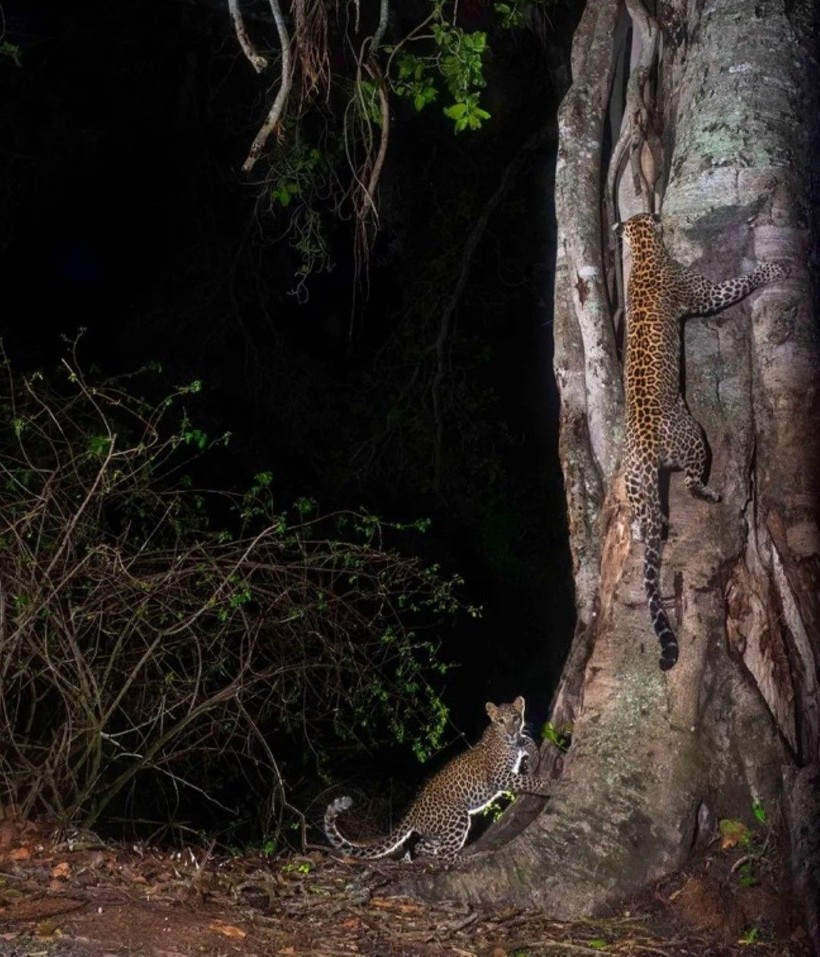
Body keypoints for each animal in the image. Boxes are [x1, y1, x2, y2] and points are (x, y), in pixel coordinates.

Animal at [324, 696, 548, 868]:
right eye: (501, 721)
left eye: (515, 718)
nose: (511, 731)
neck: (502, 739)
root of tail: (413, 809)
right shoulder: (499, 776)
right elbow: (526, 781)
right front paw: (548, 786)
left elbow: (527, 741)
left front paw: (534, 757)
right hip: (456, 816)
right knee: (445, 855)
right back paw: (471, 858)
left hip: (436, 831)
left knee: (421, 846)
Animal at [620, 213, 788, 668]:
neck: (645, 250)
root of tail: (644, 447)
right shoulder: (706, 294)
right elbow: (738, 282)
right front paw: (775, 270)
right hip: (695, 438)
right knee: (693, 482)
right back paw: (711, 494)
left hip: (631, 477)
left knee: (644, 513)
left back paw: (645, 528)